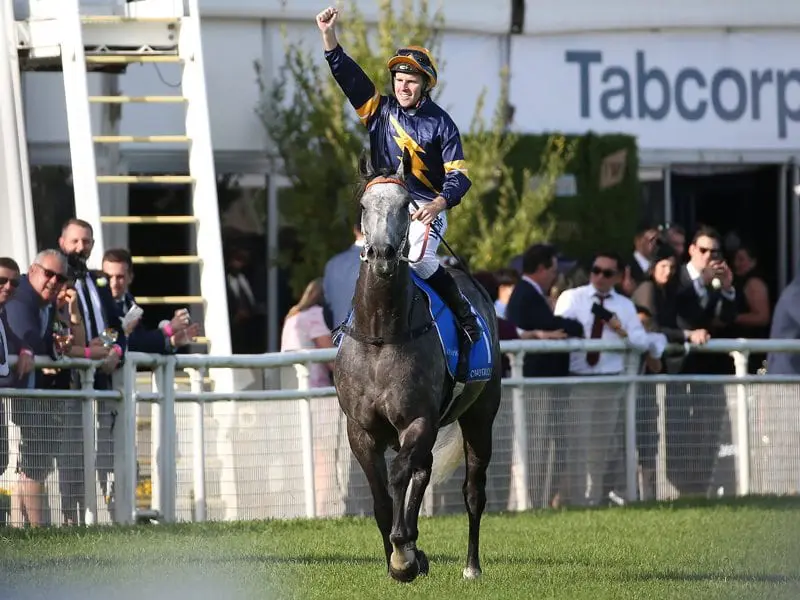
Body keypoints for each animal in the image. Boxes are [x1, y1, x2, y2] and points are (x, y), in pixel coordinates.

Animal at [334, 149, 504, 580]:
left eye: (405, 205)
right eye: (364, 206)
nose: (381, 254)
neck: (382, 335)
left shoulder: (418, 420)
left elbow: (398, 476)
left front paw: (402, 555)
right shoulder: (360, 429)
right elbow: (380, 495)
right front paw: (402, 553)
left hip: (480, 416)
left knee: (472, 491)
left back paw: (471, 566)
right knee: (423, 472)